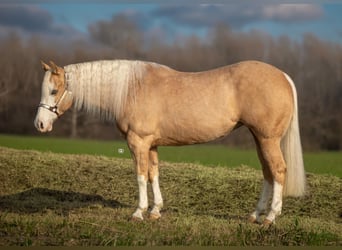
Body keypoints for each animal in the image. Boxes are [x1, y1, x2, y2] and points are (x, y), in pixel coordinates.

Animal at [34, 60, 306, 225]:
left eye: (53, 91)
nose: (40, 124)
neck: (131, 89)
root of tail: (283, 76)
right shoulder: (151, 144)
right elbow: (153, 174)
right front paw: (155, 211)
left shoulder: (138, 142)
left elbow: (140, 176)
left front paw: (138, 213)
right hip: (260, 138)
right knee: (268, 173)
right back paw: (255, 214)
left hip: (268, 139)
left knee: (278, 170)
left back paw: (270, 217)